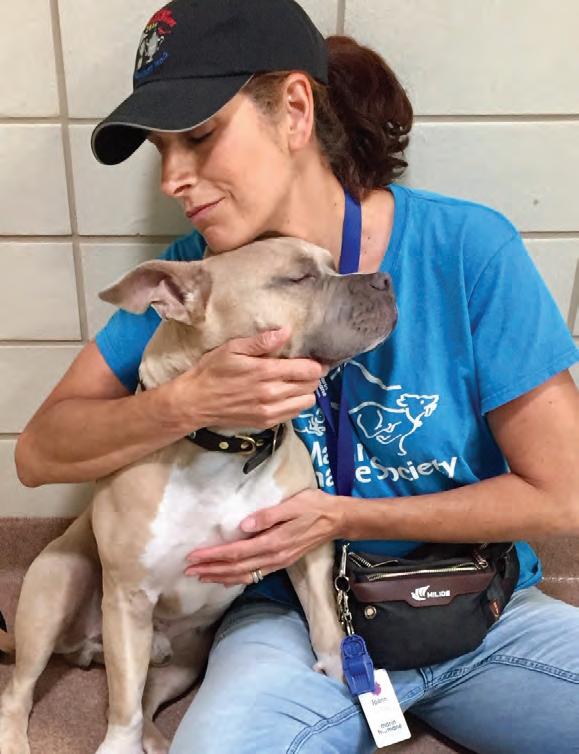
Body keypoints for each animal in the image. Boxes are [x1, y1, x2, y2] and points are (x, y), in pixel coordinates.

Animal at [0, 237, 397, 754]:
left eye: (334, 265)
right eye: (299, 278)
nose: (385, 279)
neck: (230, 448)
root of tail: (87, 650)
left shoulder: (305, 548)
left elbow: (327, 624)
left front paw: (339, 671)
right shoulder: (128, 597)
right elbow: (122, 713)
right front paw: (117, 745)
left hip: (185, 660)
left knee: (146, 702)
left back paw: (158, 741)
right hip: (59, 587)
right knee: (24, 690)